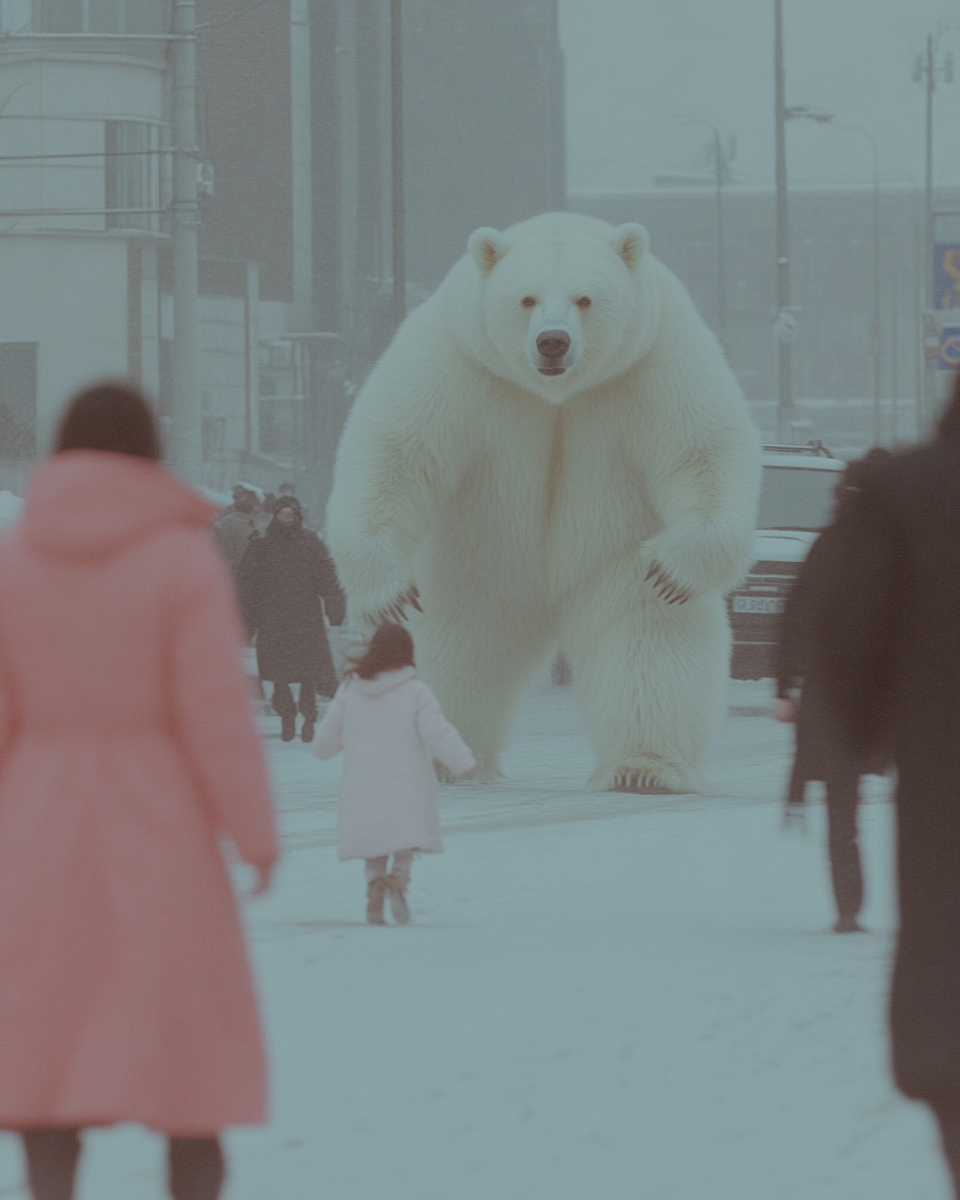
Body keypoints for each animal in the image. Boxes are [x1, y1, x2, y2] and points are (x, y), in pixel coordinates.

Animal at [326, 211, 763, 792]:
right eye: (527, 298)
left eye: (585, 298)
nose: (553, 342)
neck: (555, 393)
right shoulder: (460, 363)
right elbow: (394, 451)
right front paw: (386, 590)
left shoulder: (652, 364)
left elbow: (701, 451)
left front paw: (674, 567)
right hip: (475, 562)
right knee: (450, 642)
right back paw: (440, 759)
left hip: (615, 557)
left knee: (648, 638)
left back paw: (642, 767)